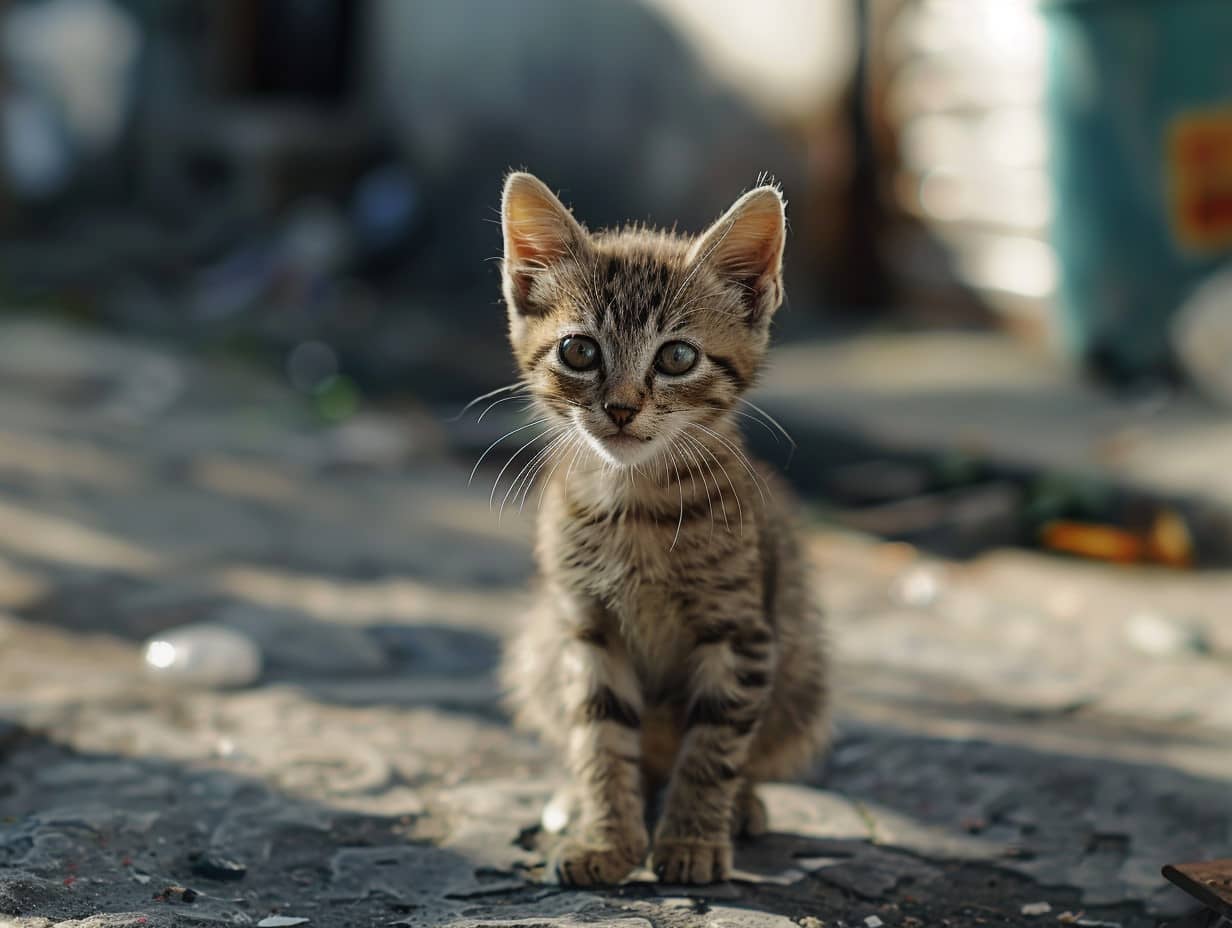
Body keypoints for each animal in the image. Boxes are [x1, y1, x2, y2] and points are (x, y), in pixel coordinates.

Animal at [495, 170, 832, 887]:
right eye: (579, 351)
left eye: (677, 357)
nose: (621, 407)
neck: (636, 506)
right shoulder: (586, 628)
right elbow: (599, 737)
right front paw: (608, 840)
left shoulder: (740, 632)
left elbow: (714, 743)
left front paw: (691, 840)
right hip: (540, 645)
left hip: (803, 669)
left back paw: (741, 807)